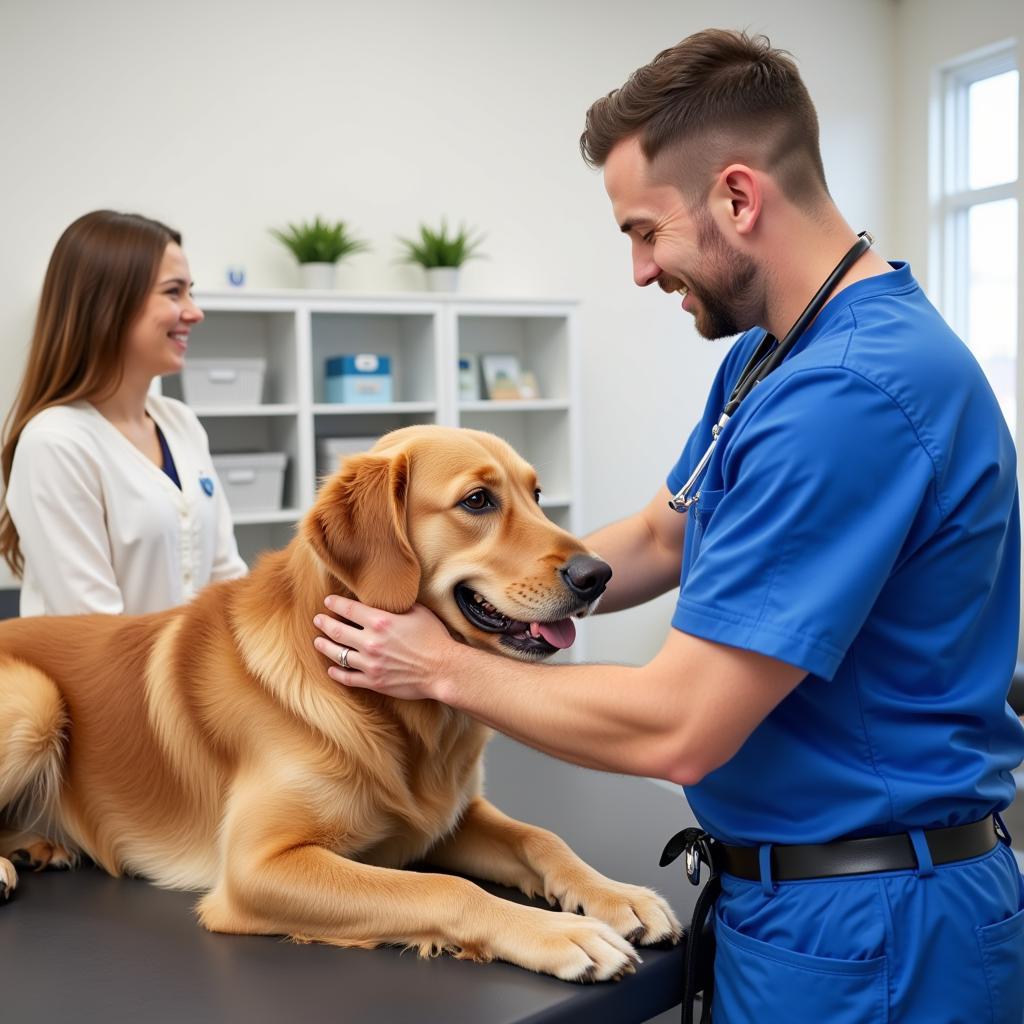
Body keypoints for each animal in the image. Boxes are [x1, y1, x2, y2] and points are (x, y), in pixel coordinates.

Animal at [0, 425, 679, 983]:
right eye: (478, 501)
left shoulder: (444, 818)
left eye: (537, 495)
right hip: (35, 700)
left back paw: (36, 845)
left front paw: (616, 895)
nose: (599, 574)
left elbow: (542, 838)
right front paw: (564, 935)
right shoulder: (258, 867)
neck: (395, 712)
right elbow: (445, 889)